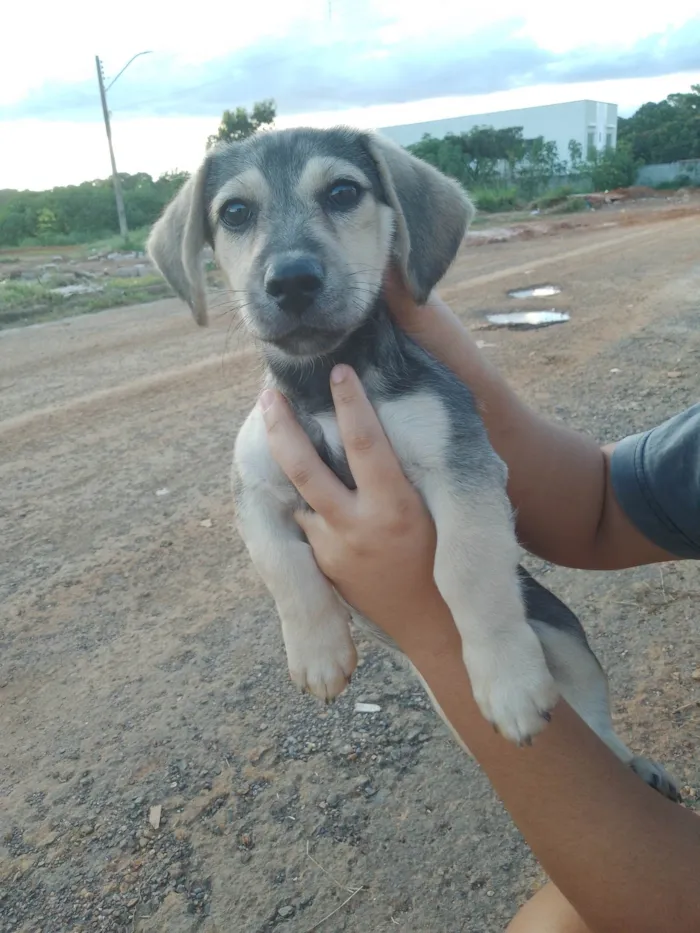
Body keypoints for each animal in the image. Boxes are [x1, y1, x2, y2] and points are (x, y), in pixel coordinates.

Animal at [148, 124, 680, 796]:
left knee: (597, 722)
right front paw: (318, 654)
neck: (325, 386)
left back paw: (634, 763)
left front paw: (508, 682)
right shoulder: (257, 485)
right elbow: (282, 567)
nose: (291, 281)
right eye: (235, 212)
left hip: (566, 638)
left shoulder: (460, 463)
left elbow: (465, 569)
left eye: (343, 192)